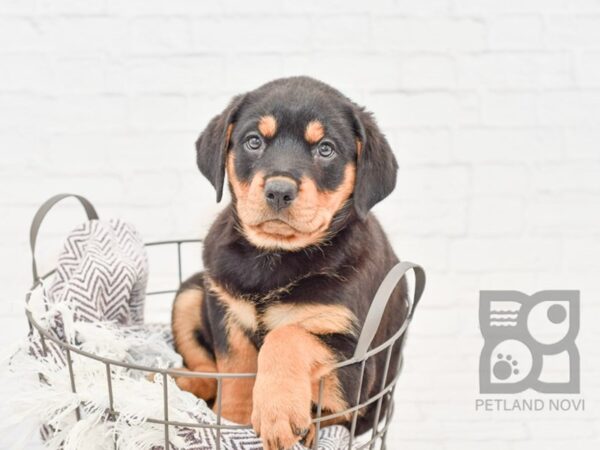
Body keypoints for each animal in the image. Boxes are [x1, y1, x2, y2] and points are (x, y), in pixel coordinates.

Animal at [173, 77, 408, 450]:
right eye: (254, 141)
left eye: (325, 149)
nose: (279, 191)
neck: (275, 257)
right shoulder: (226, 310)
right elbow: (235, 369)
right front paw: (233, 419)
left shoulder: (358, 368)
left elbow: (289, 335)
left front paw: (278, 413)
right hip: (190, 292)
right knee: (207, 370)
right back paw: (185, 382)